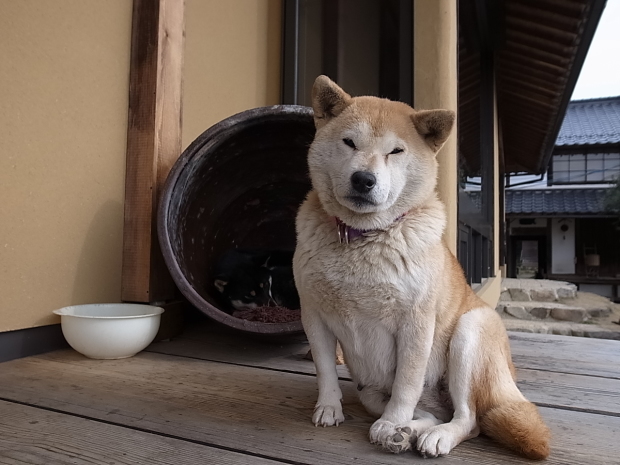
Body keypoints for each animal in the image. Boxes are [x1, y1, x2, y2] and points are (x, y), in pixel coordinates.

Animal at [294, 74, 548, 458]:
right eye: (349, 142)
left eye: (396, 151)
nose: (363, 179)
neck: (365, 235)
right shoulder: (314, 314)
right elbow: (325, 370)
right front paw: (329, 408)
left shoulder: (416, 321)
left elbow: (406, 384)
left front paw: (391, 421)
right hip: (370, 391)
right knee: (429, 412)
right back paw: (405, 433)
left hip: (469, 333)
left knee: (468, 419)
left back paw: (430, 435)